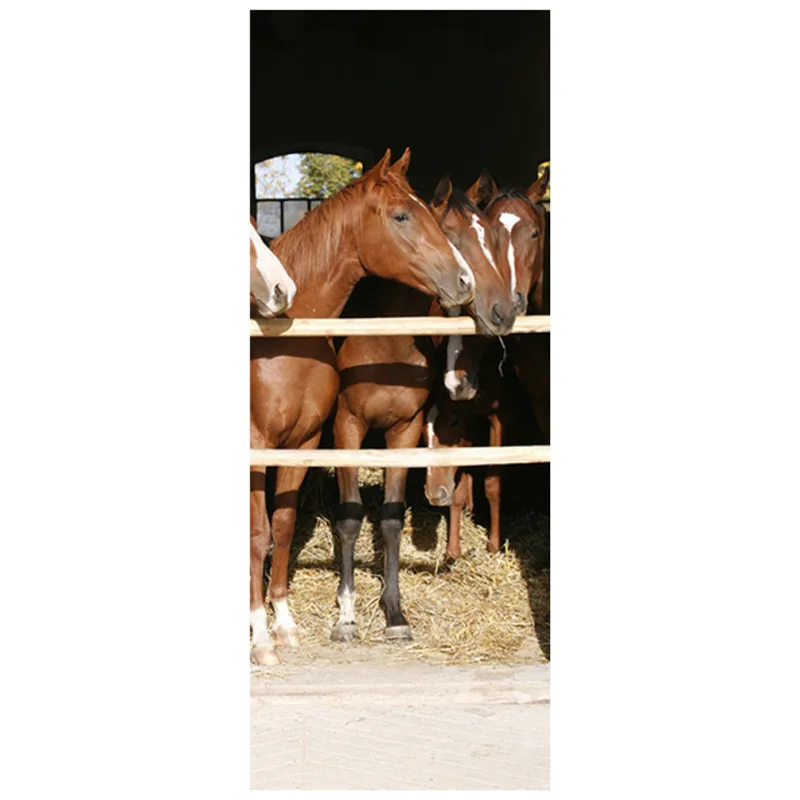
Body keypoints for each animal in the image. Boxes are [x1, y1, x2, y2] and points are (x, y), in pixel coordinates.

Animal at [250, 148, 476, 665]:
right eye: (401, 216)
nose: (464, 281)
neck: (283, 341)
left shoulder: (304, 444)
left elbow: (283, 526)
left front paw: (285, 626)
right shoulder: (270, 443)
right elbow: (258, 534)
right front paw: (260, 638)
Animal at [330, 175, 517, 643]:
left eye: (488, 235)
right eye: (452, 235)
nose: (503, 310)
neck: (385, 343)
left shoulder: (406, 429)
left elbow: (392, 518)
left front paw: (395, 614)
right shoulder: (347, 426)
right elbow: (349, 517)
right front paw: (346, 616)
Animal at [424, 169, 550, 557]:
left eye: (535, 232)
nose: (512, 303)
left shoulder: (502, 415)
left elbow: (493, 479)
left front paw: (494, 545)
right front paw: (453, 549)